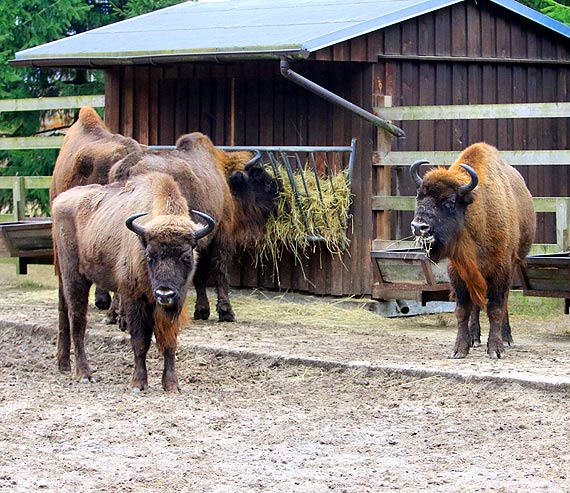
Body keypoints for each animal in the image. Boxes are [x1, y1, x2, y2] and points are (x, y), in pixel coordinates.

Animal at [51, 171, 214, 390]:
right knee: (77, 319)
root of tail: (59, 201)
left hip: (63, 278)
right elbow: (140, 341)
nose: (164, 293)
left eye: (186, 256)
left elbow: (170, 342)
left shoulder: (176, 302)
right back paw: (85, 374)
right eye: (150, 255)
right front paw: (138, 383)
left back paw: (64, 365)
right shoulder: (133, 296)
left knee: (63, 312)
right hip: (75, 276)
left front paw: (171, 384)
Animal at [408, 142, 532, 358]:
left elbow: (496, 308)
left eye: (449, 202)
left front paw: (496, 349)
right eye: (419, 197)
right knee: (476, 305)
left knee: (505, 300)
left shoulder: (501, 269)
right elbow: (463, 309)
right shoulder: (458, 271)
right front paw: (460, 349)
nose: (418, 227)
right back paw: (475, 338)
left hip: (513, 263)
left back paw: (506, 338)